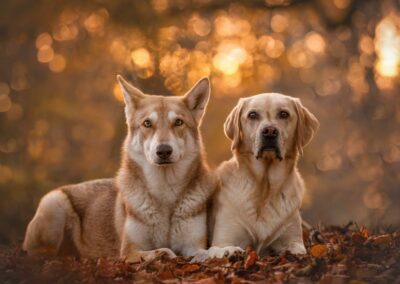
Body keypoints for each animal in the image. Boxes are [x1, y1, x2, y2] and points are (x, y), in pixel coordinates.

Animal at [22, 75, 216, 262]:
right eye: (147, 123)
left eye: (178, 122)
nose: (163, 151)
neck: (165, 191)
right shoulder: (129, 251)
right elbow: (161, 250)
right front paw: (164, 254)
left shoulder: (193, 245)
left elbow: (204, 252)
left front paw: (217, 252)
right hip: (54, 203)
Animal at [193, 93, 318, 262]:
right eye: (252, 115)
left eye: (284, 114)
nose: (270, 131)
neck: (265, 187)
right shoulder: (223, 239)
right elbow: (222, 248)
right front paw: (231, 251)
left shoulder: (292, 239)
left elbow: (295, 249)